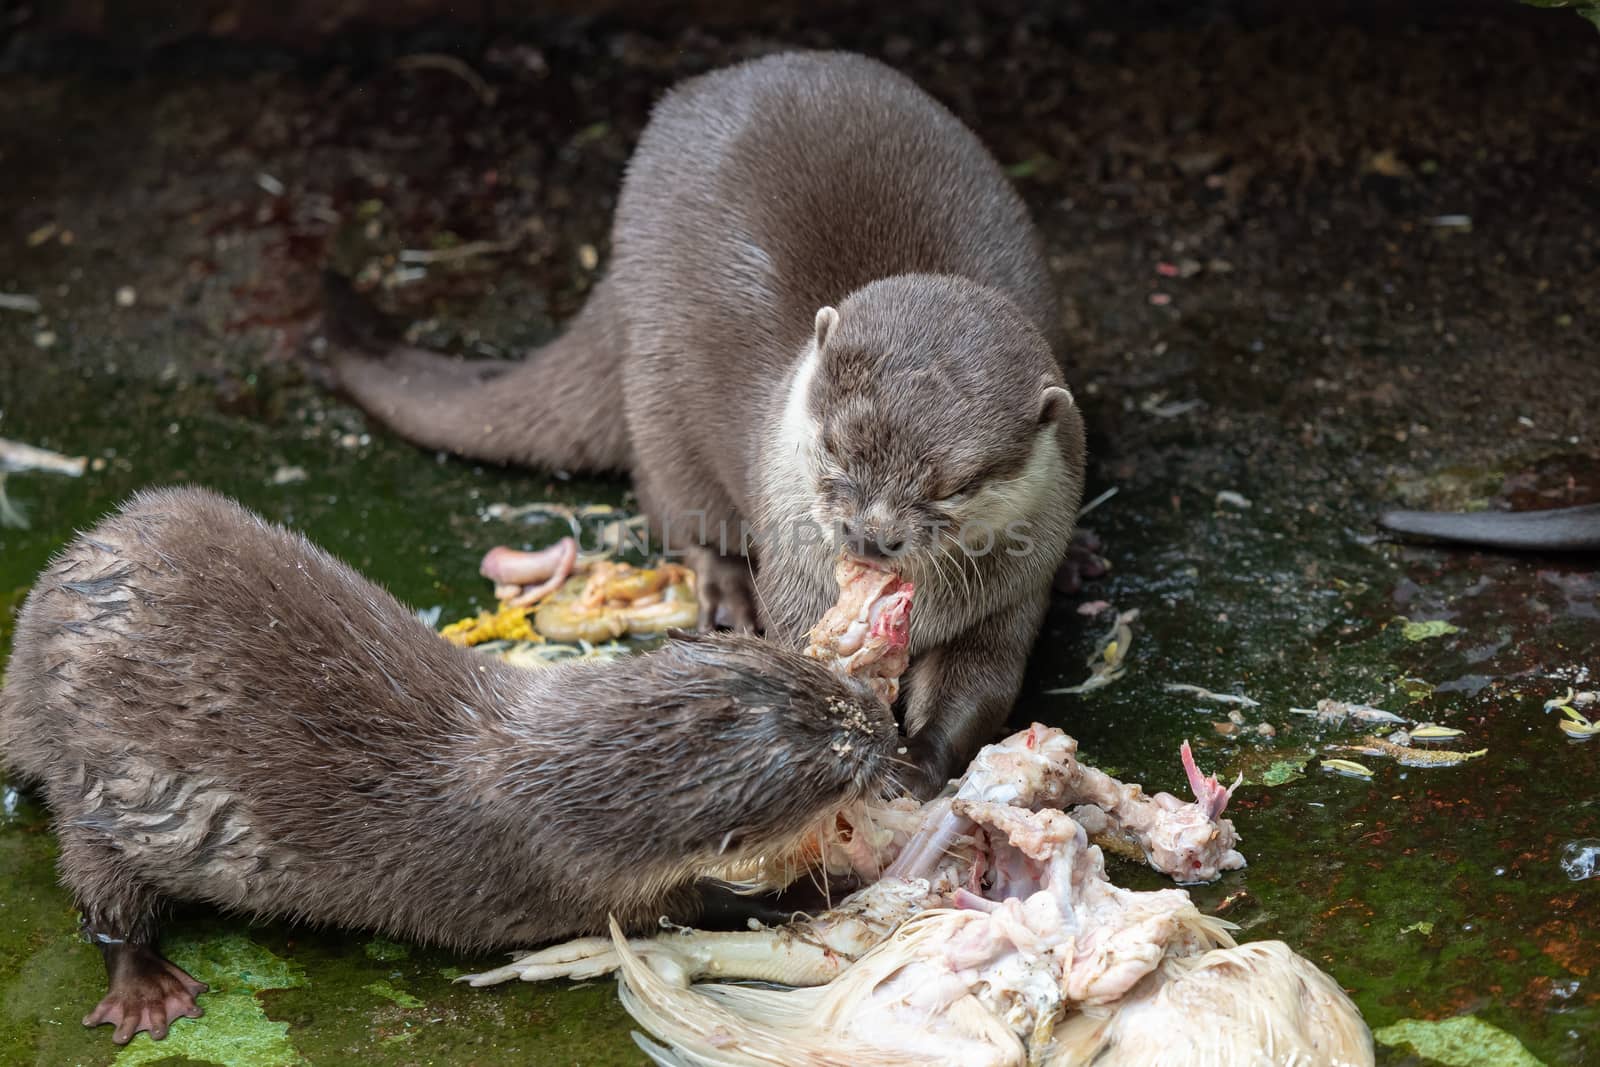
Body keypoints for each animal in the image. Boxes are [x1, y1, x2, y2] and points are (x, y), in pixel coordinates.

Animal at [0, 489, 902, 1049]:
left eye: (823, 681)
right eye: (838, 741)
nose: (888, 721)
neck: (558, 779)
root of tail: (35, 635)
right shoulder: (567, 873)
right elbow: (704, 909)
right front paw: (829, 886)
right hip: (111, 787)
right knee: (103, 892)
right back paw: (145, 985)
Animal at [324, 51, 1088, 799]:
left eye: (953, 486)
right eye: (833, 447)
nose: (869, 534)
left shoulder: (1015, 591)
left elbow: (981, 687)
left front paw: (919, 761)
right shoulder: (795, 575)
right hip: (659, 395)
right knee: (672, 504)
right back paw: (726, 595)